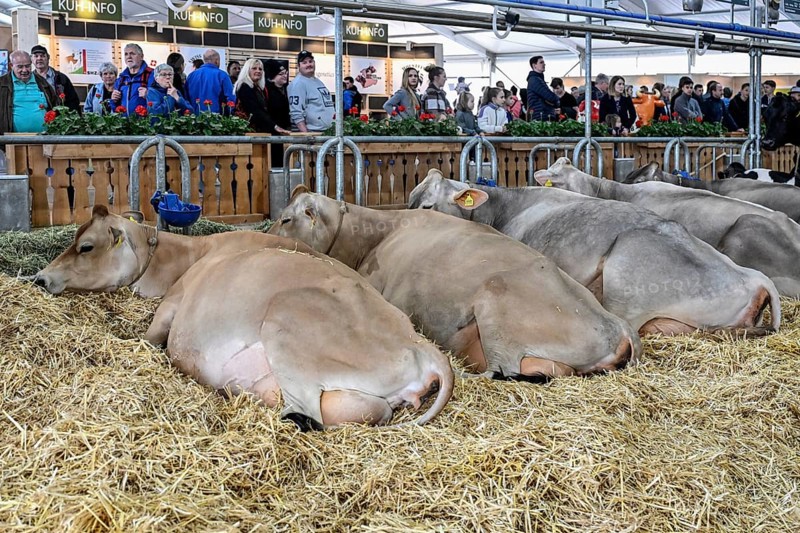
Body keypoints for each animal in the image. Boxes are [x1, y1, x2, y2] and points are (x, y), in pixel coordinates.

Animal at [31, 206, 454, 430]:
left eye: (86, 246)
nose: (39, 278)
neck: (184, 257)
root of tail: (422, 344)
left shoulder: (171, 308)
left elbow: (146, 339)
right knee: (370, 409)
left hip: (287, 323)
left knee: (306, 412)